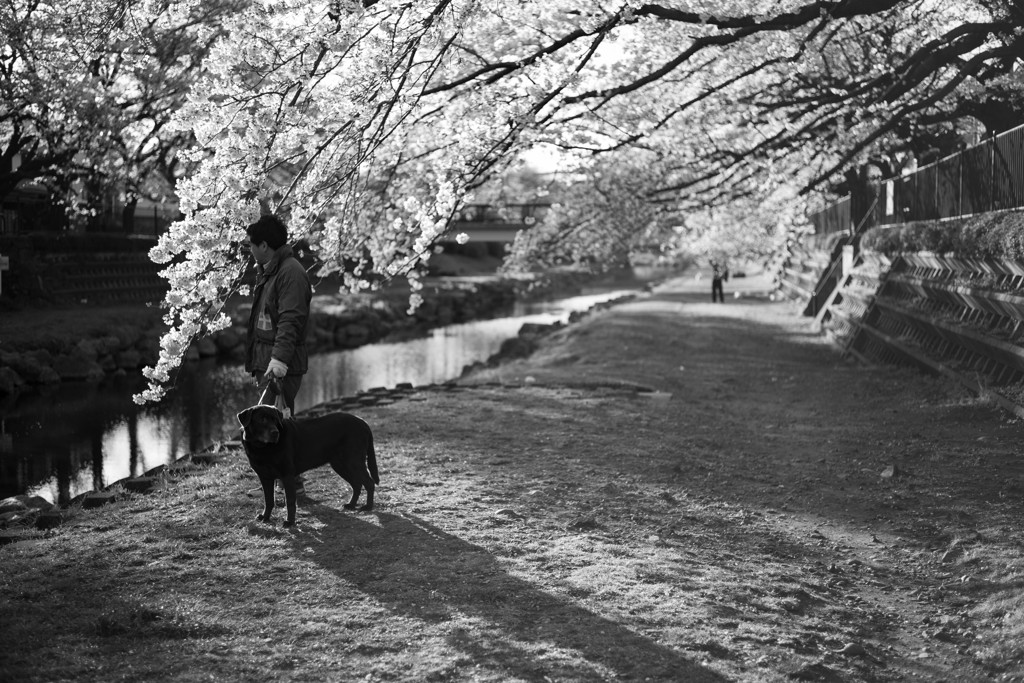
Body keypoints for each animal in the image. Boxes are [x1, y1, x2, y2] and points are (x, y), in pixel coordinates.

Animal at [235, 405, 380, 528]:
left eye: (275, 420)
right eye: (262, 419)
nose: (275, 432)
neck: (263, 448)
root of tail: (363, 422)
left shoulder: (287, 475)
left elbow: (290, 501)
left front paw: (290, 522)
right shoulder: (265, 477)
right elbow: (269, 500)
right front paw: (265, 517)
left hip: (353, 461)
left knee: (369, 482)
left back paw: (367, 506)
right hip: (341, 465)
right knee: (357, 484)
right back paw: (351, 504)